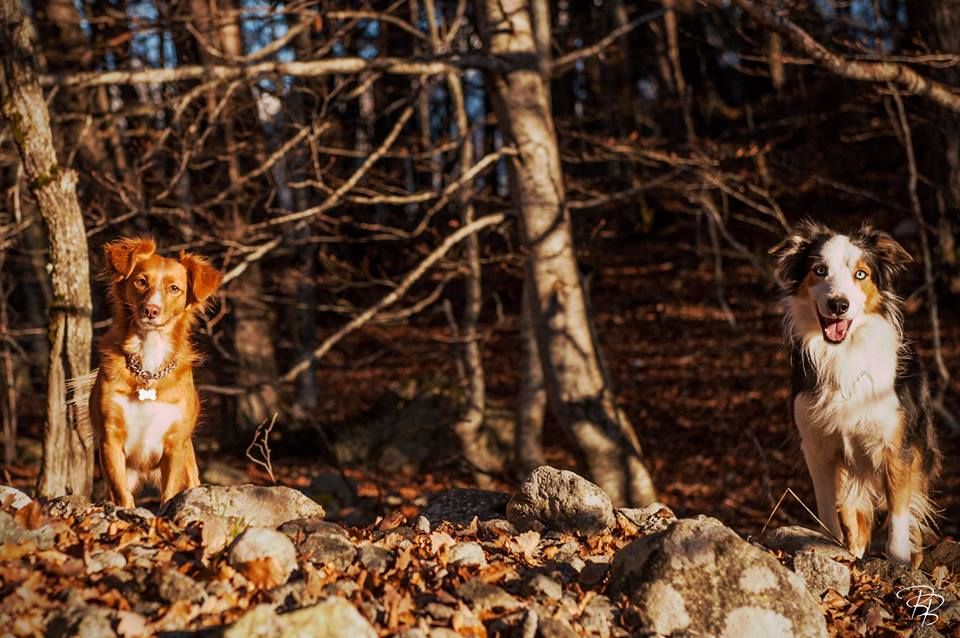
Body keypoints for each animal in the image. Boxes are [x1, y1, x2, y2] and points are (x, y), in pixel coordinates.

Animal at [88, 238, 223, 508]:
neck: (148, 367)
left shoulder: (175, 446)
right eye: (141, 281)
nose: (151, 310)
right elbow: (122, 494)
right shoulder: (110, 439)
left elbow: (169, 494)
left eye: (174, 288)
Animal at [768, 222, 940, 568]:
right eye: (820, 270)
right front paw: (831, 549)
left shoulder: (896, 449)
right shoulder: (817, 447)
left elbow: (899, 518)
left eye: (861, 274)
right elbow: (828, 512)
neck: (843, 354)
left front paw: (898, 563)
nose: (838, 305)